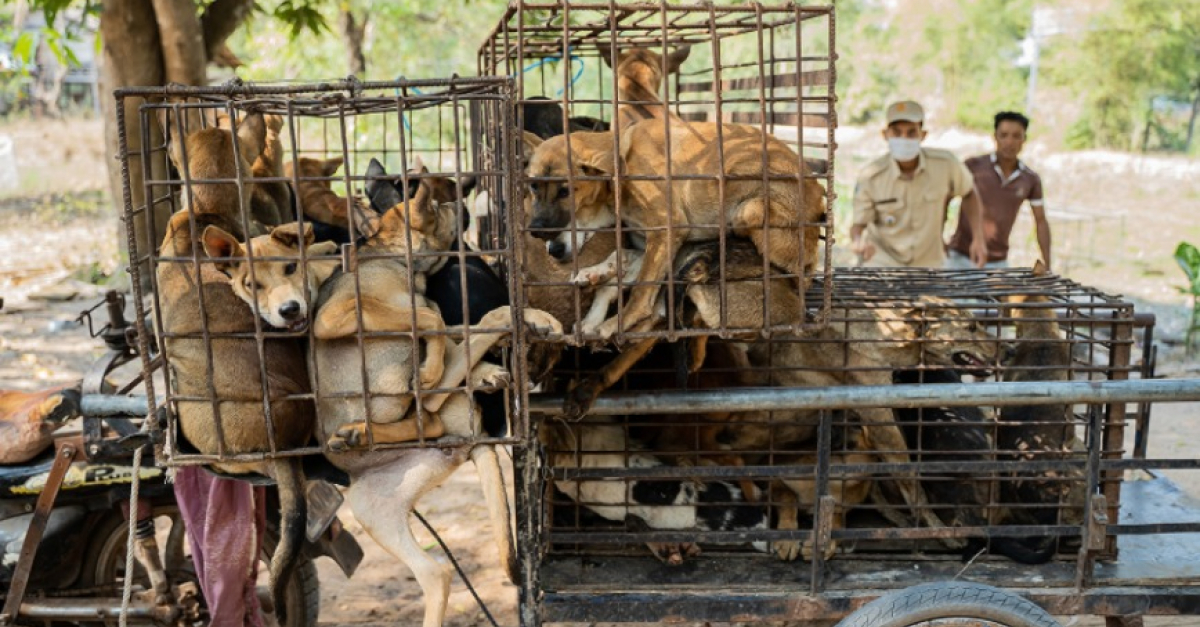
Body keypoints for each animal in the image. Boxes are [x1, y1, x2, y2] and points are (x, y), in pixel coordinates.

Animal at [528, 119, 825, 338]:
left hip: (747, 211)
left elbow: (640, 295)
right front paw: (593, 281)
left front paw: (616, 324)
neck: (624, 161)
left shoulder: (667, 233)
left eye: (565, 191)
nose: (535, 232)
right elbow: (619, 262)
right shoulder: (656, 246)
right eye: (532, 186)